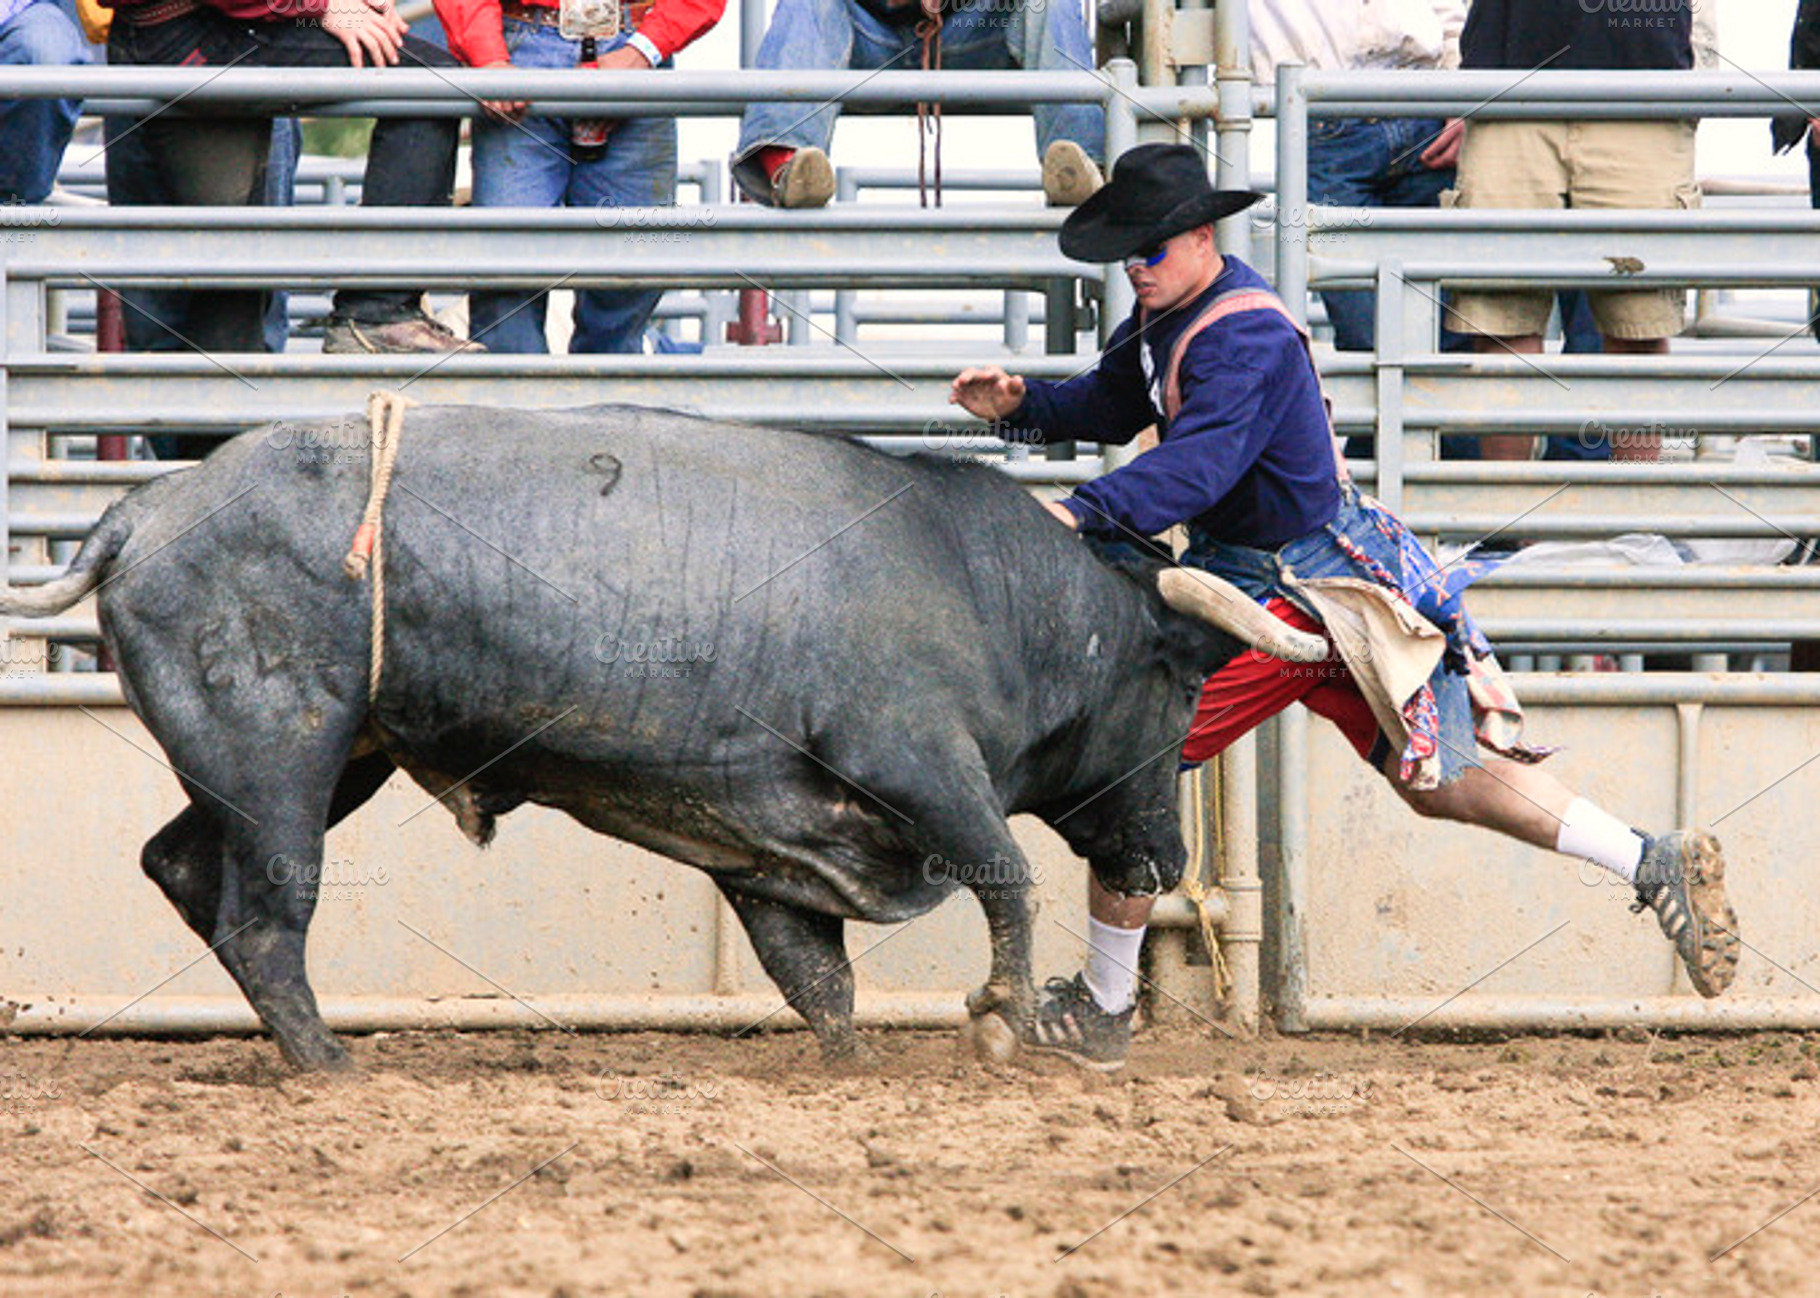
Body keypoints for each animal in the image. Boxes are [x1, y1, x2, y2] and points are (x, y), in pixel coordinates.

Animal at [1, 405, 1324, 1072]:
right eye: (1179, 693)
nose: (1162, 857)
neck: (983, 583)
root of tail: (142, 513)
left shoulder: (764, 842)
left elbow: (815, 970)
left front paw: (849, 1056)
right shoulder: (917, 759)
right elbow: (1000, 872)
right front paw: (1002, 1009)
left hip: (317, 759)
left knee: (182, 863)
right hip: (284, 759)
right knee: (263, 913)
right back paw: (326, 1055)